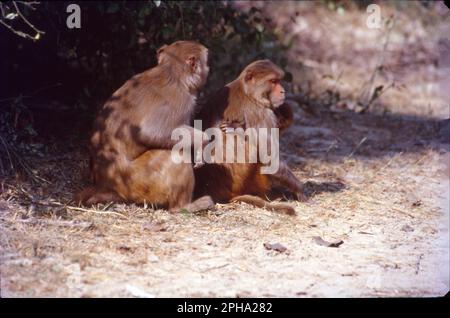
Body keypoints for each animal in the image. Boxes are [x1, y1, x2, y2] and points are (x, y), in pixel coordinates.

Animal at [75, 41, 213, 212]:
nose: (208, 69)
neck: (172, 73)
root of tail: (108, 186)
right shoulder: (180, 99)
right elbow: (150, 132)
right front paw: (203, 140)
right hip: (139, 182)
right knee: (174, 154)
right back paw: (184, 207)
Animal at [193, 59, 306, 216]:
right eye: (273, 81)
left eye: (279, 81)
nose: (283, 91)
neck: (249, 93)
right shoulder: (262, 113)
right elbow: (269, 157)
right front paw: (299, 188)